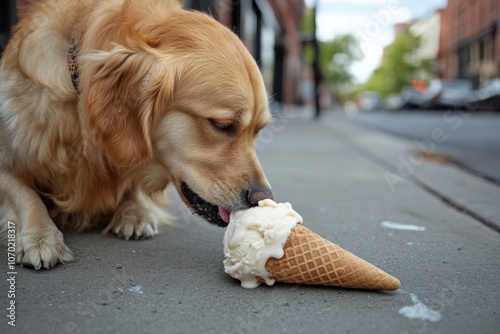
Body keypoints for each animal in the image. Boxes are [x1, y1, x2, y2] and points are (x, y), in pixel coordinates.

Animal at [0, 0, 274, 268]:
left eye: (257, 131)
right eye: (221, 125)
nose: (263, 197)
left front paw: (136, 212)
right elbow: (25, 194)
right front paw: (41, 235)